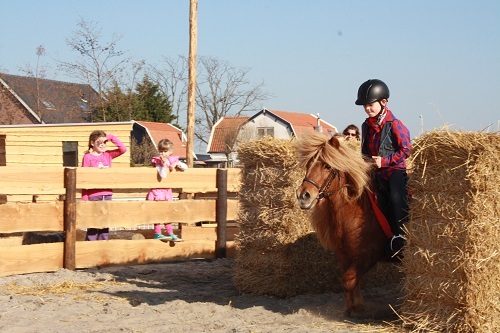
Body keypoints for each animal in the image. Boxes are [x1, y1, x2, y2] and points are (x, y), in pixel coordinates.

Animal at [292, 130, 390, 316]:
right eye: (308, 165)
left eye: (327, 166)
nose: (303, 195)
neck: (354, 211)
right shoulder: (345, 256)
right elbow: (352, 282)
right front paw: (354, 306)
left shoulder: (368, 255)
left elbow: (347, 281)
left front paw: (356, 309)